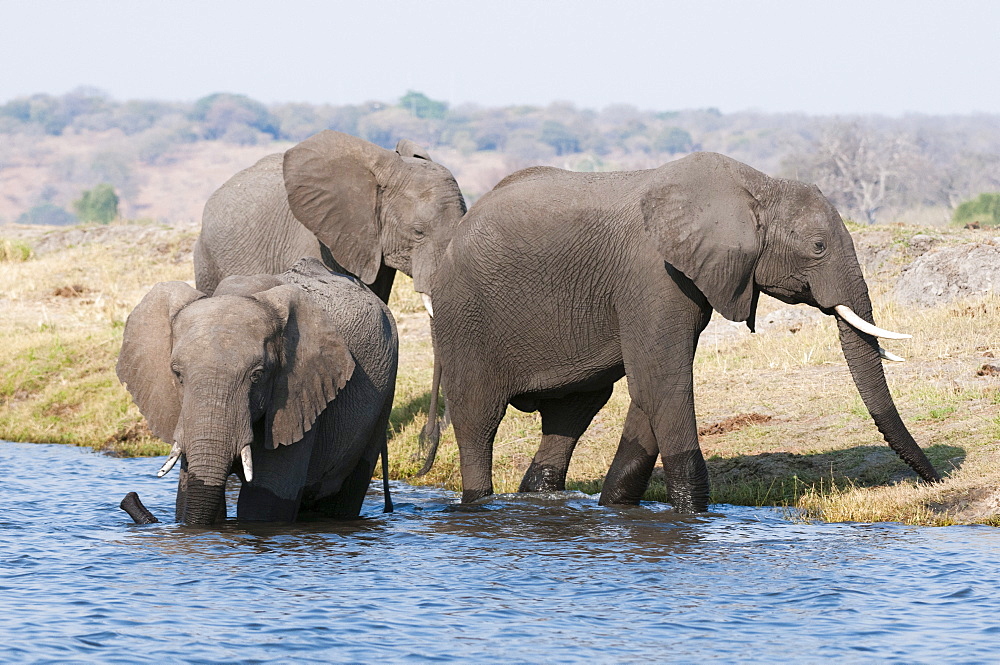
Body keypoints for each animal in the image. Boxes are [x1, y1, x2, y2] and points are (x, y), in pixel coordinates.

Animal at [117, 258, 398, 524]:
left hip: (384, 393)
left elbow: (264, 504)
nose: (129, 497)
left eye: (257, 375)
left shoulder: (299, 395)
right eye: (177, 374)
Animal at [428, 153, 936, 510]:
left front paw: (615, 506)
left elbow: (652, 389)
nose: (935, 479)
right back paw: (478, 504)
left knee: (570, 415)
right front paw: (692, 515)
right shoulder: (653, 275)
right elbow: (663, 383)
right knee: (478, 421)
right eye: (817, 246)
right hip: (462, 317)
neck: (757, 187)